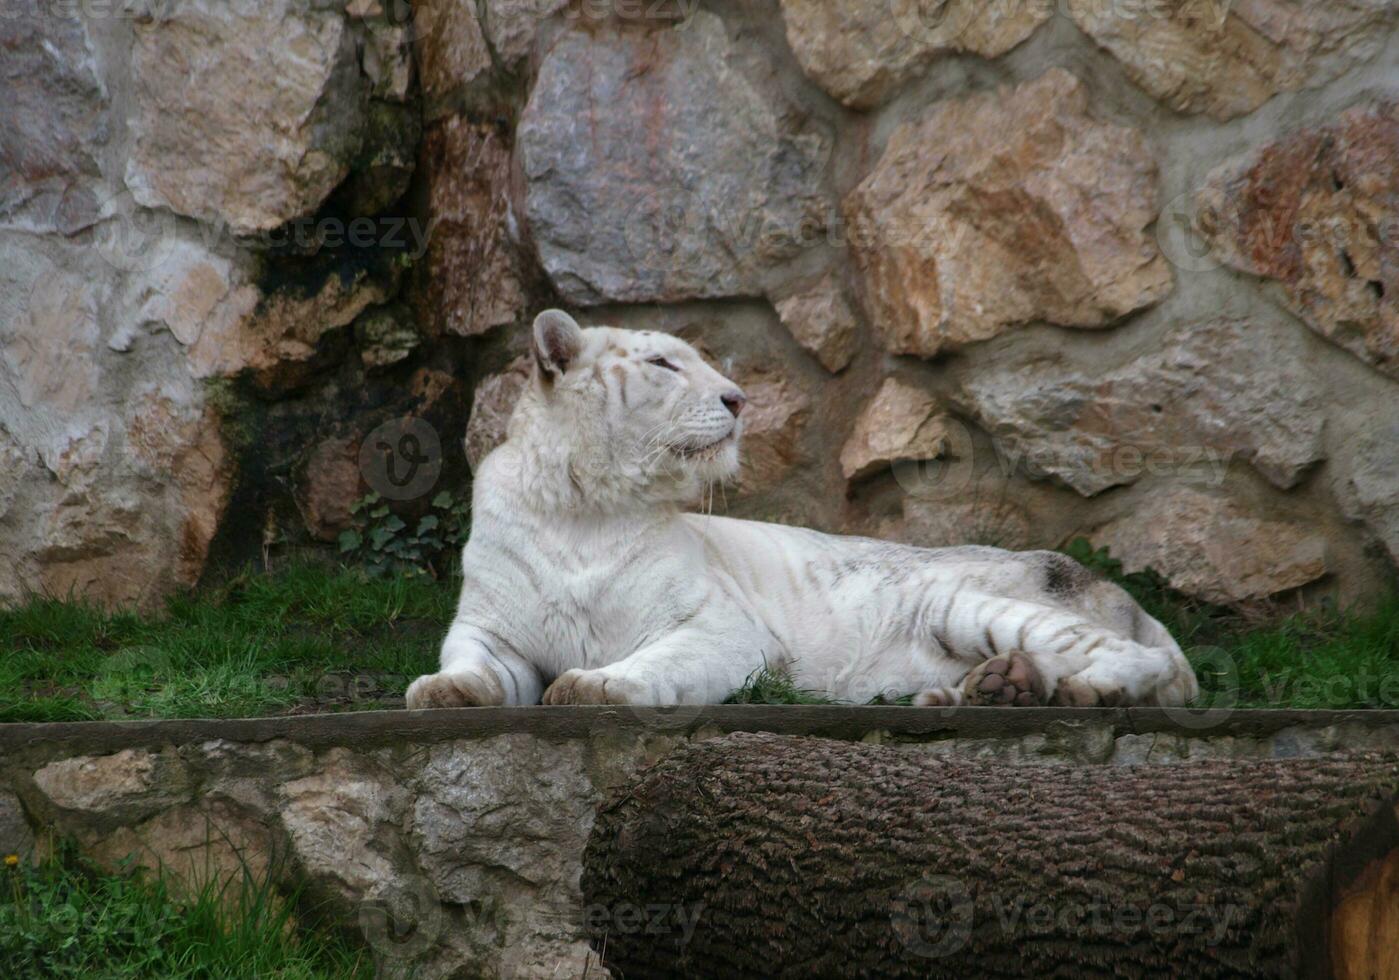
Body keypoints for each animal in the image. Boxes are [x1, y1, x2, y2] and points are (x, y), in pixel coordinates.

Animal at [402, 311, 1191, 710]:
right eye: (663, 364)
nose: (739, 399)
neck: (586, 504)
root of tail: (1119, 594)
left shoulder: (722, 629)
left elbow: (656, 664)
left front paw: (594, 685)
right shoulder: (491, 628)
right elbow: (470, 665)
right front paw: (445, 691)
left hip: (966, 603)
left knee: (1135, 660)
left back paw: (1078, 691)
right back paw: (992, 690)